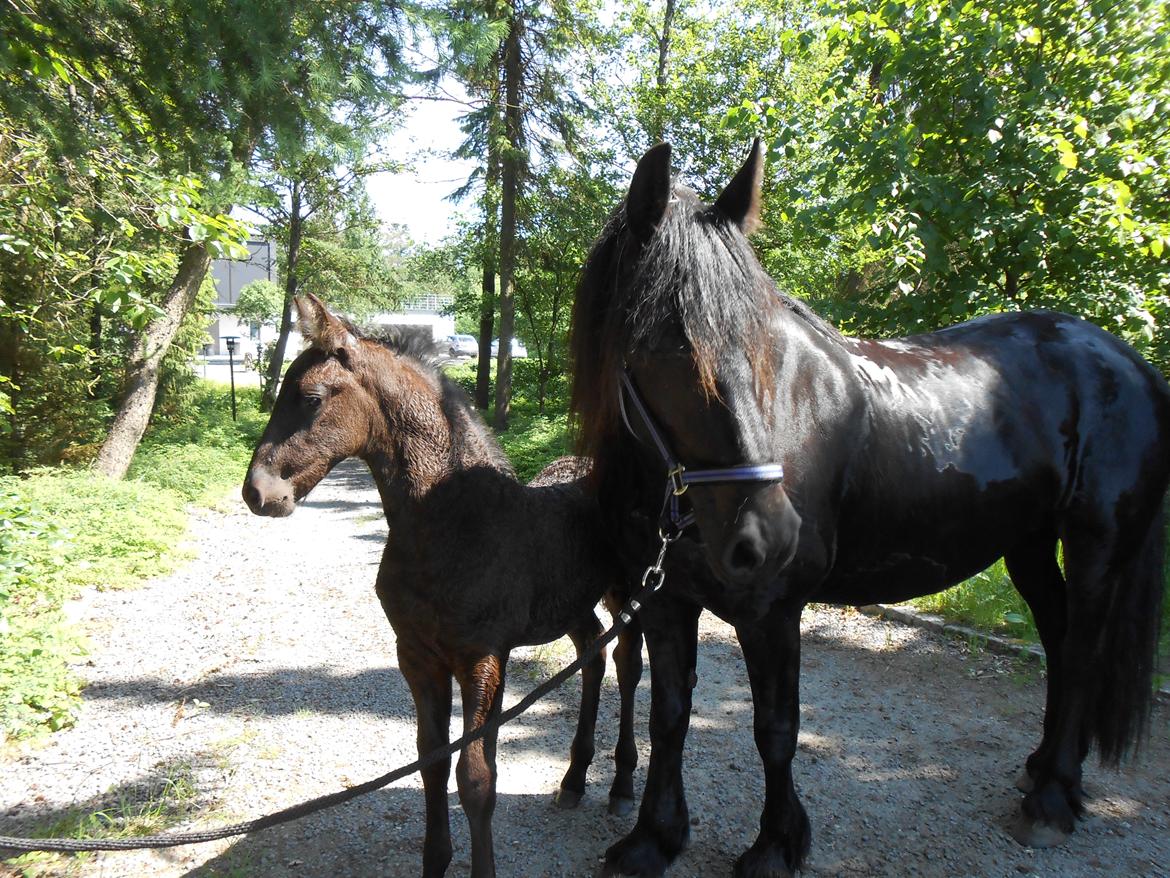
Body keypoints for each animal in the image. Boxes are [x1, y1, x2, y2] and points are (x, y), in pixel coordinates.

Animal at [573, 141, 1170, 875]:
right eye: (660, 343)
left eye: (766, 345)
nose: (769, 535)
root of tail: (1129, 363)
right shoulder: (663, 602)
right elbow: (671, 715)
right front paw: (654, 838)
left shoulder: (771, 609)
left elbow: (775, 728)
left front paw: (776, 845)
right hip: (1029, 546)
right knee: (1059, 642)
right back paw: (1047, 773)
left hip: (1096, 550)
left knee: (1082, 652)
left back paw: (1052, 801)